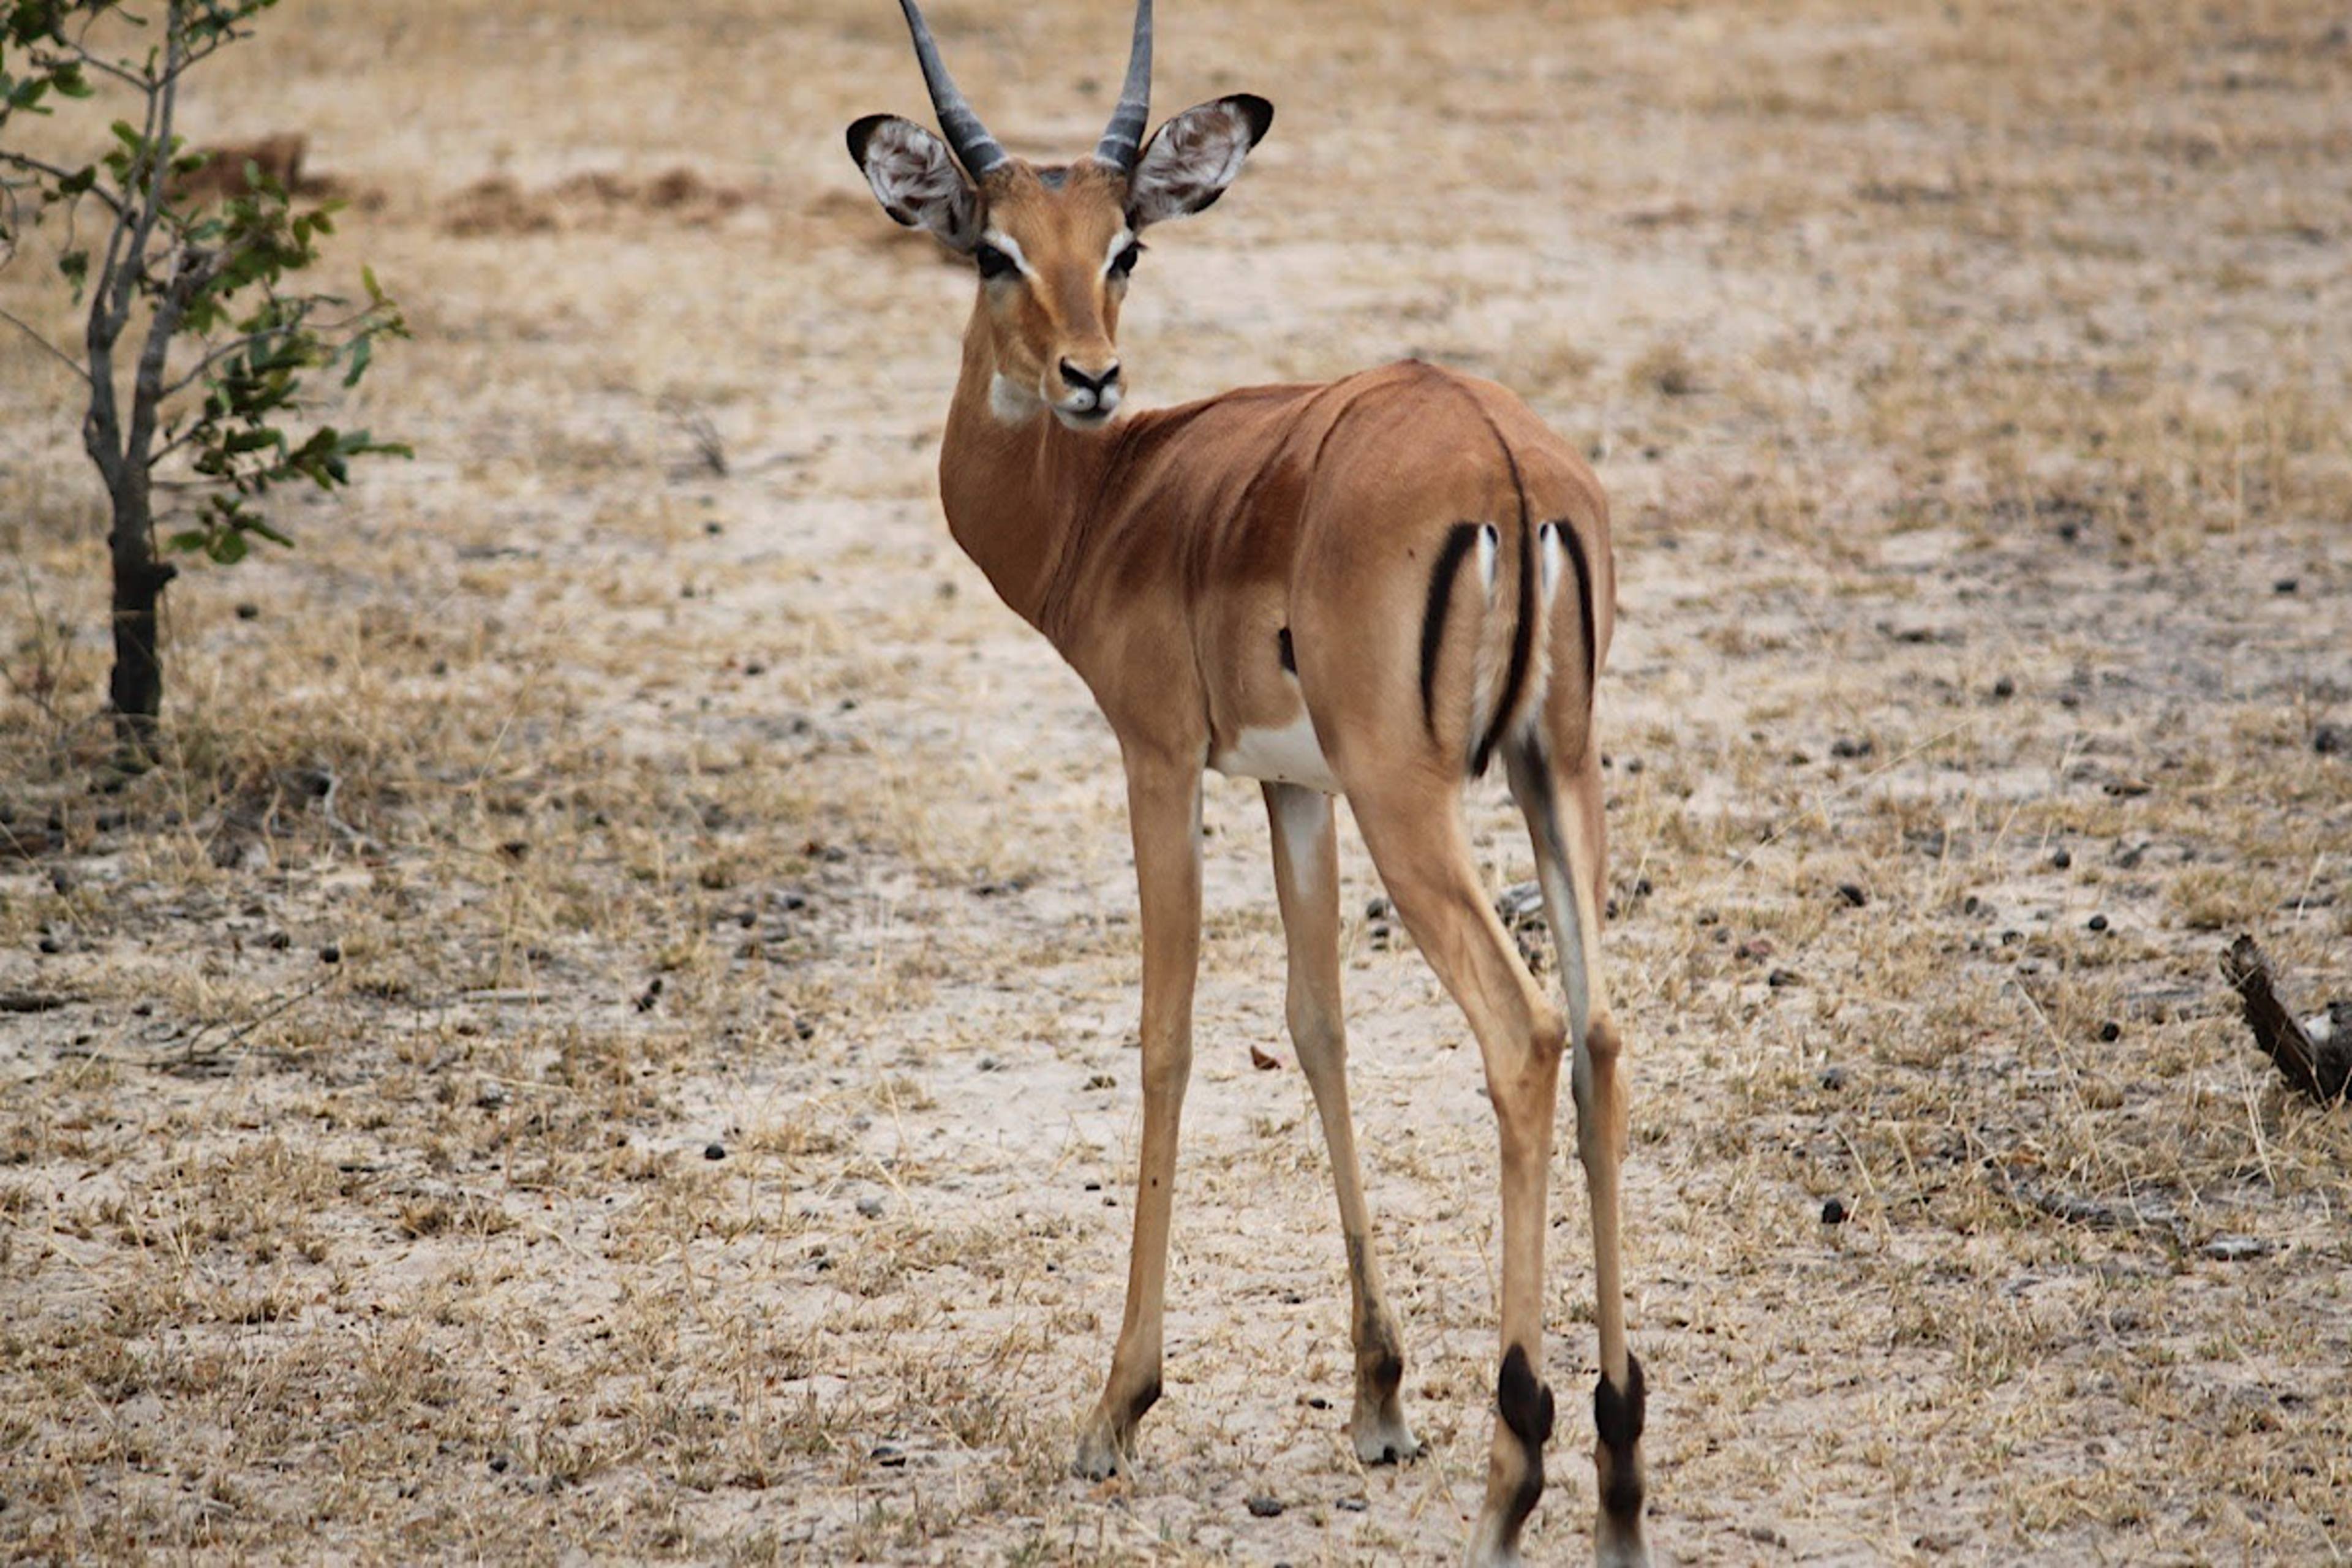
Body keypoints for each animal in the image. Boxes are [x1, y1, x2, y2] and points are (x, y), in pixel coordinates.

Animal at [847, 3, 1648, 1561]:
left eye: (1123, 246)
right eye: (996, 248)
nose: (1091, 378)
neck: (1113, 503)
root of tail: (1508, 467)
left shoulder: (1159, 759)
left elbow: (1165, 1034)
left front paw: (1115, 1409)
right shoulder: (1296, 788)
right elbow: (1316, 1021)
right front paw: (1379, 1395)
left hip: (1420, 802)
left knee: (1522, 1034)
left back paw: (1512, 1474)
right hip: (1554, 775)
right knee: (1597, 1035)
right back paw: (1621, 1476)